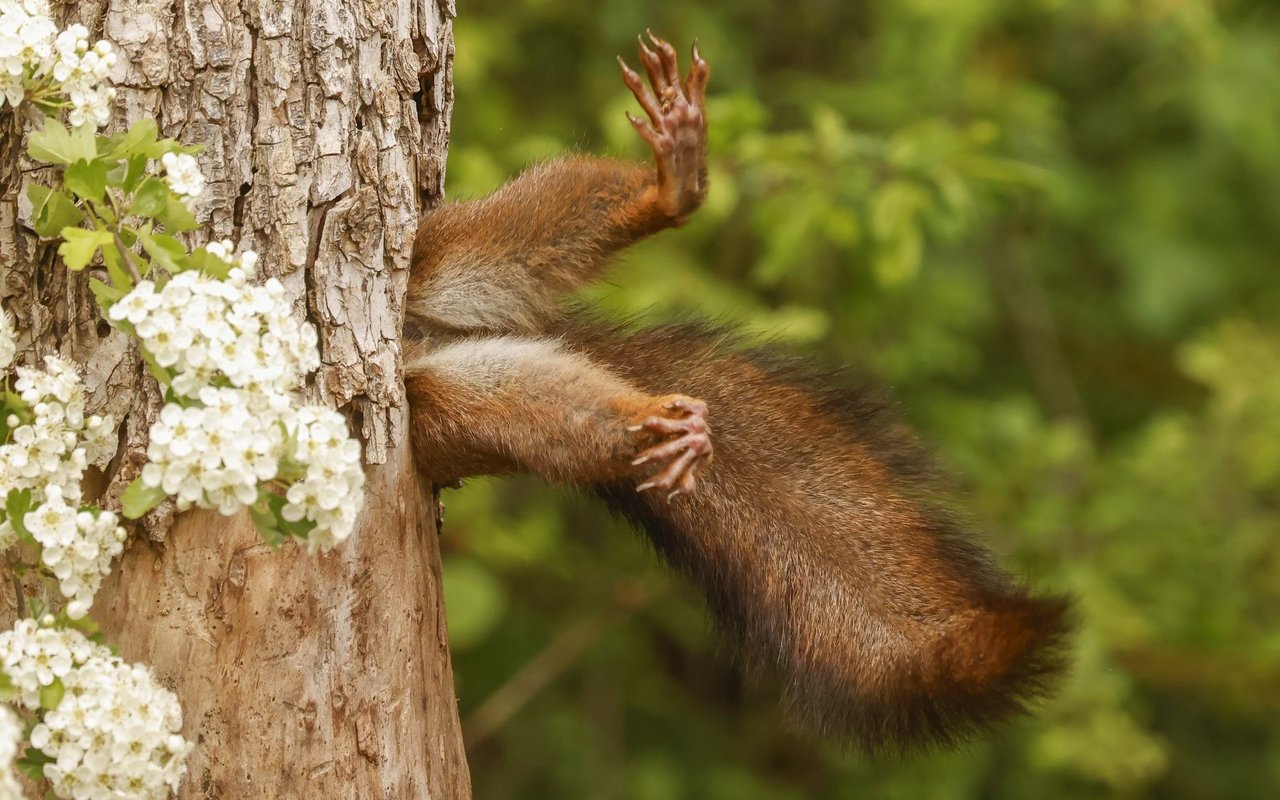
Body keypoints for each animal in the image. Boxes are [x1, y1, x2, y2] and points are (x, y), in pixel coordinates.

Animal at [401, 34, 1070, 752]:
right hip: (446, 408)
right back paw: (656, 423)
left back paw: (671, 185)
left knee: (521, 230)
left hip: (438, 255)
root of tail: (423, 338)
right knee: (539, 409)